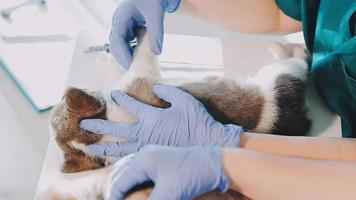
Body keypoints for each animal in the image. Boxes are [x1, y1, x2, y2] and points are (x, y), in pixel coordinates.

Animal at [44, 27, 312, 200]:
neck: (107, 133)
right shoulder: (140, 75)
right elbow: (144, 51)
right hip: (280, 75)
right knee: (299, 62)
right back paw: (287, 49)